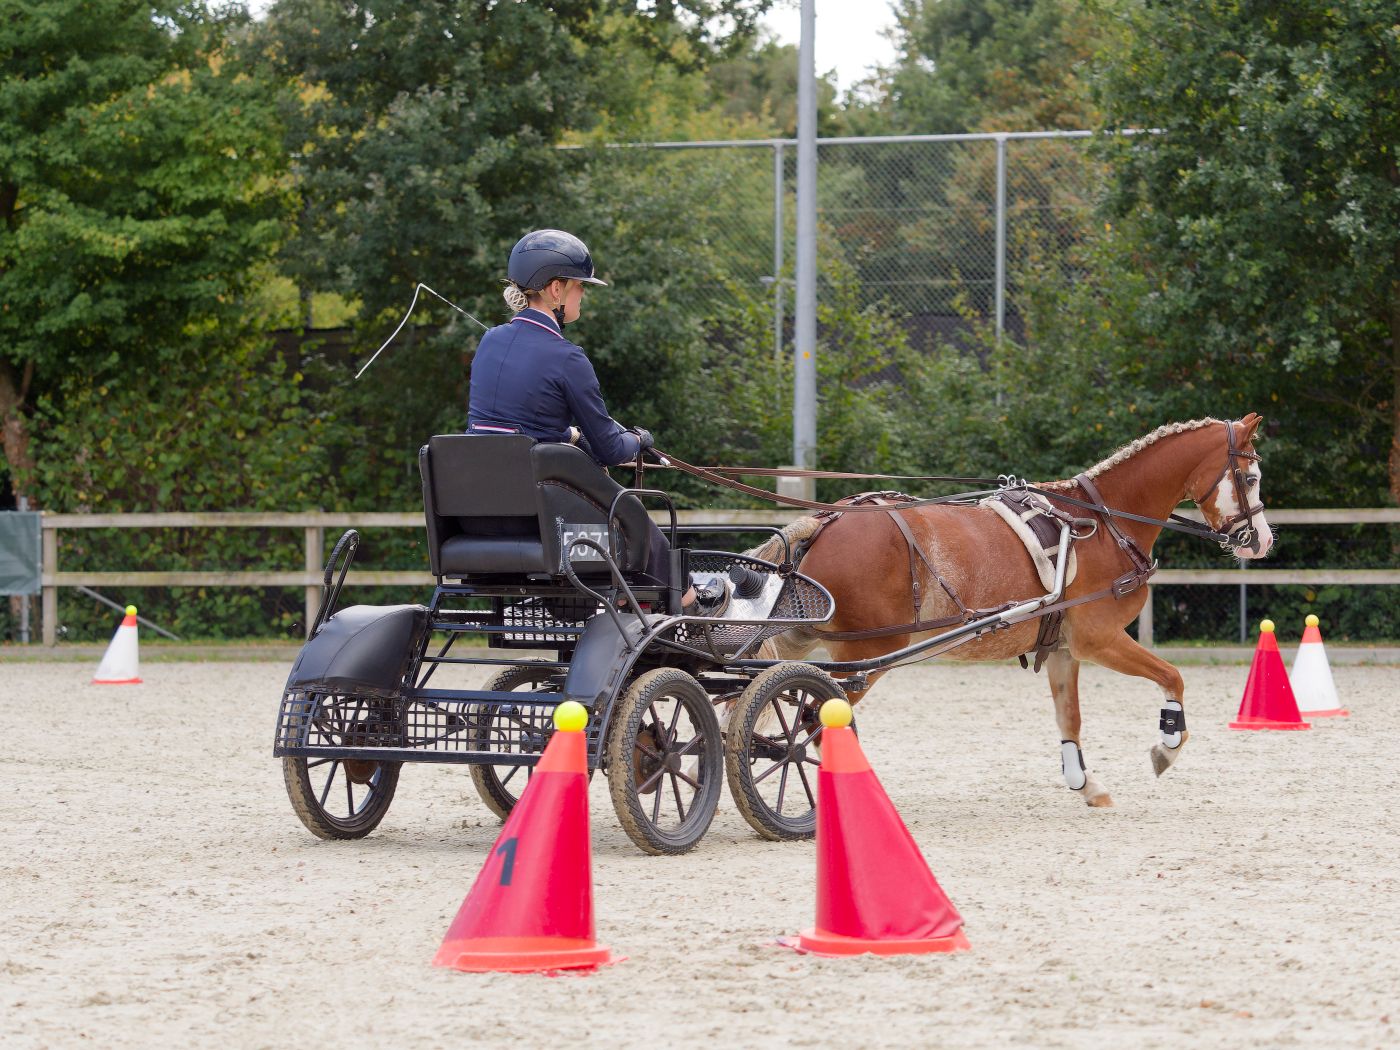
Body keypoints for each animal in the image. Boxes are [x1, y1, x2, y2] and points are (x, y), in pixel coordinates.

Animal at [751, 414, 1273, 808]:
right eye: (1250, 478)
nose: (1263, 541)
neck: (1105, 523)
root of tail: (826, 521)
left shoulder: (1063, 649)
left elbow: (1070, 718)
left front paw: (1086, 784)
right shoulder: (1099, 639)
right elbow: (1173, 678)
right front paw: (1168, 745)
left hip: (799, 639)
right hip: (866, 654)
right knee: (816, 721)